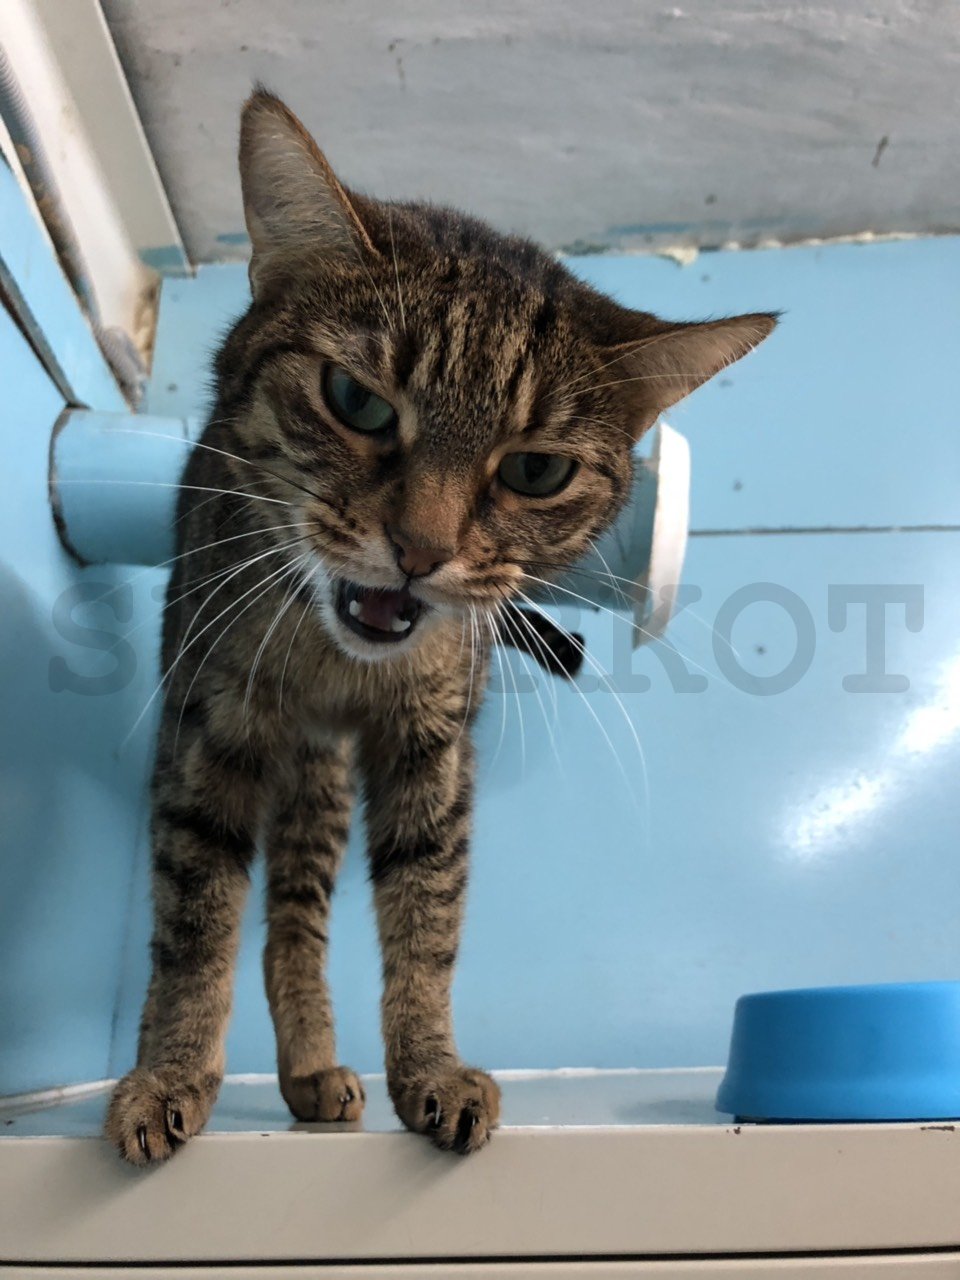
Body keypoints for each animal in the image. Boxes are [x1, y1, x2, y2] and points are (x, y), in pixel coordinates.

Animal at [105, 87, 776, 1163]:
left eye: (537, 469)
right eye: (355, 400)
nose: (418, 549)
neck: (335, 659)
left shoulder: (435, 746)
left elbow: (427, 917)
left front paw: (428, 1066)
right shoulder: (208, 725)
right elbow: (195, 920)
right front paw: (167, 1073)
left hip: (323, 786)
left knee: (294, 917)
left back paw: (311, 1070)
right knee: (274, 914)